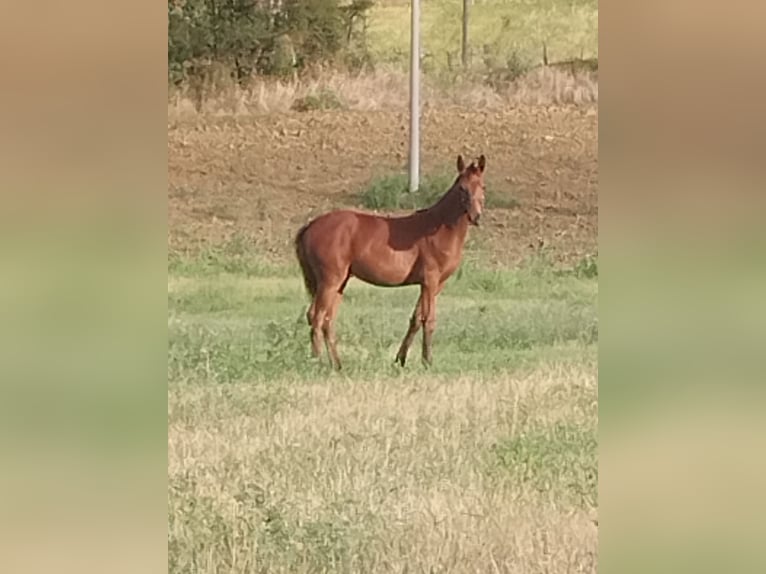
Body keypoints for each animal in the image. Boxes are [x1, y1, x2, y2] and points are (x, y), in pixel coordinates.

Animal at [294, 153, 486, 372]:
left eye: (483, 185)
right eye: (462, 187)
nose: (476, 217)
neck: (439, 228)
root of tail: (310, 225)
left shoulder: (435, 285)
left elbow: (415, 319)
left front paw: (400, 360)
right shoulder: (430, 280)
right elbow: (428, 320)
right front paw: (427, 362)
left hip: (339, 283)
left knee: (326, 319)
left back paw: (337, 364)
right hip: (329, 281)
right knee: (316, 317)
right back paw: (316, 363)